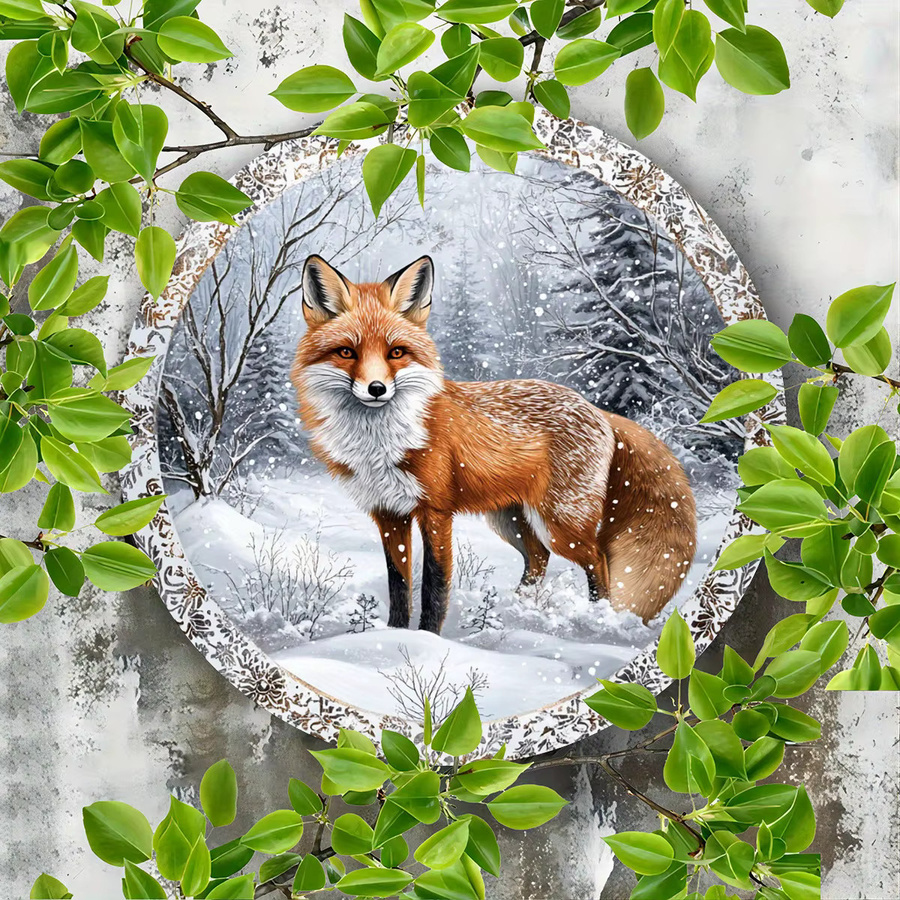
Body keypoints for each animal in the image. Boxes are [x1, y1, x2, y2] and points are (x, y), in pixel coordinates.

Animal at [291, 254, 697, 635]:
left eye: (396, 353)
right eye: (347, 352)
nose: (377, 389)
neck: (380, 443)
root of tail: (598, 410)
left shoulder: (436, 511)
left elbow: (435, 584)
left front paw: (427, 638)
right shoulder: (388, 513)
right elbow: (399, 584)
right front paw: (395, 634)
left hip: (559, 522)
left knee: (598, 559)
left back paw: (597, 617)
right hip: (511, 521)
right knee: (538, 560)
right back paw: (517, 609)